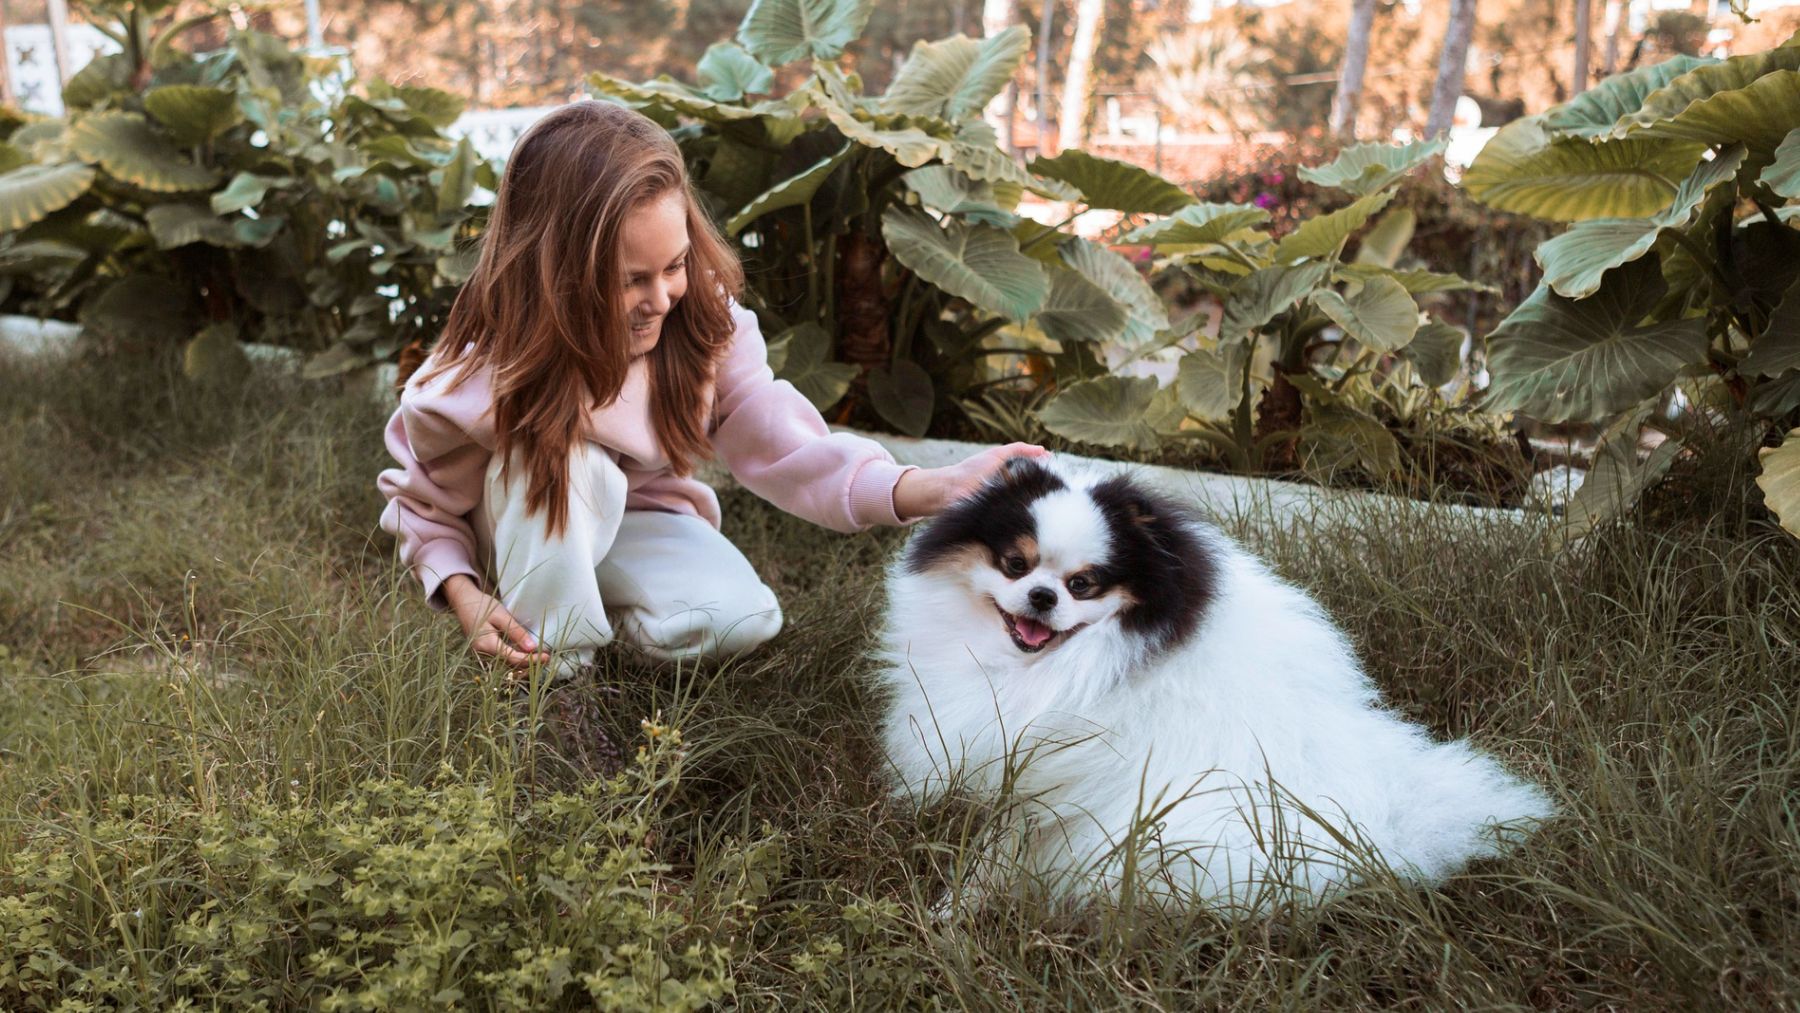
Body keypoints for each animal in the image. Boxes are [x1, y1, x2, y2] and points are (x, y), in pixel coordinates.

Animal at [871, 455, 1548, 914]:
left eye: (1084, 584)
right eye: (1016, 564)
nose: (1041, 596)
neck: (1047, 667)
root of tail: (1382, 820)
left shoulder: (1055, 781)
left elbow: (998, 851)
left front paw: (955, 910)